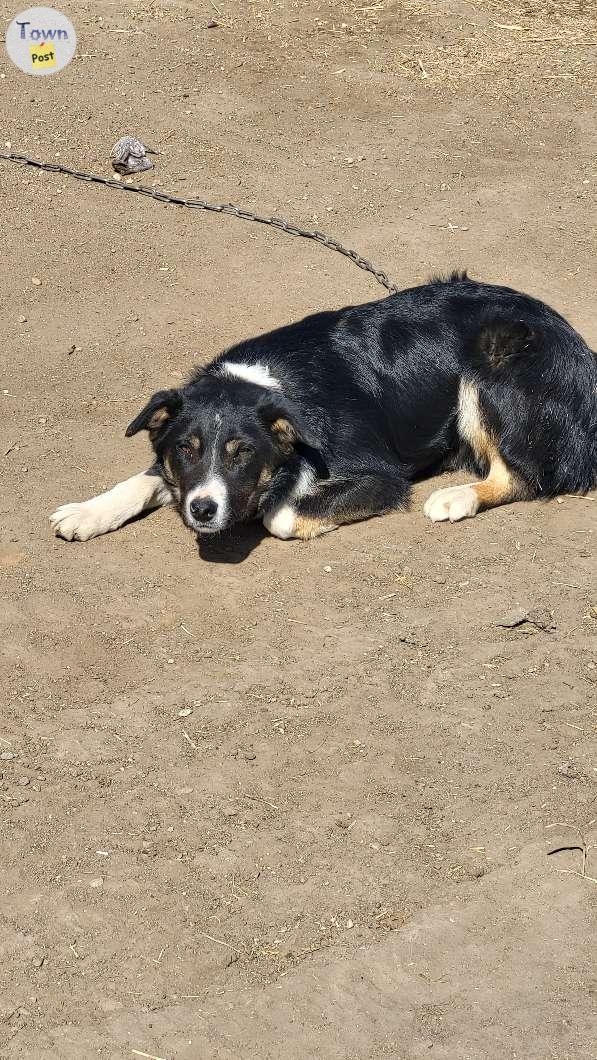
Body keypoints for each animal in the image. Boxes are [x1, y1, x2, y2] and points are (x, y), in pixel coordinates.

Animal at [50, 271, 597, 546]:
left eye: (242, 452)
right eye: (186, 449)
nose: (203, 510)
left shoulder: (380, 476)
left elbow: (281, 515)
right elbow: (142, 480)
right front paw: (87, 511)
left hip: (492, 362)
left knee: (525, 475)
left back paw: (457, 497)